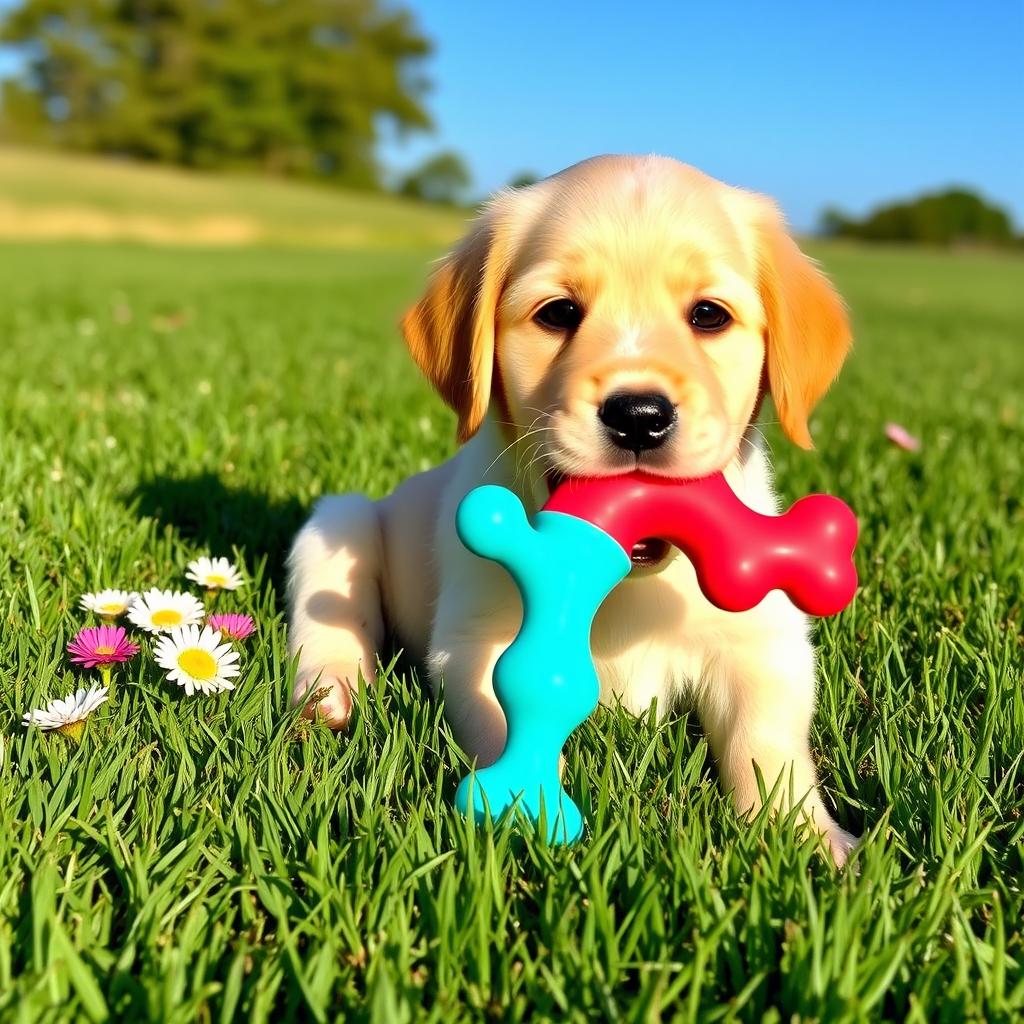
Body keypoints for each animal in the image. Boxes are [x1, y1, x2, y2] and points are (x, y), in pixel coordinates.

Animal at [288, 153, 856, 864]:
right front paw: (526, 808)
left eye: (708, 315)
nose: (639, 415)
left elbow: (767, 743)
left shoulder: (763, 642)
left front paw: (808, 840)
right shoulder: (476, 638)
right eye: (559, 312)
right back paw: (332, 693)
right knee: (330, 624)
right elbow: (507, 716)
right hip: (337, 522)